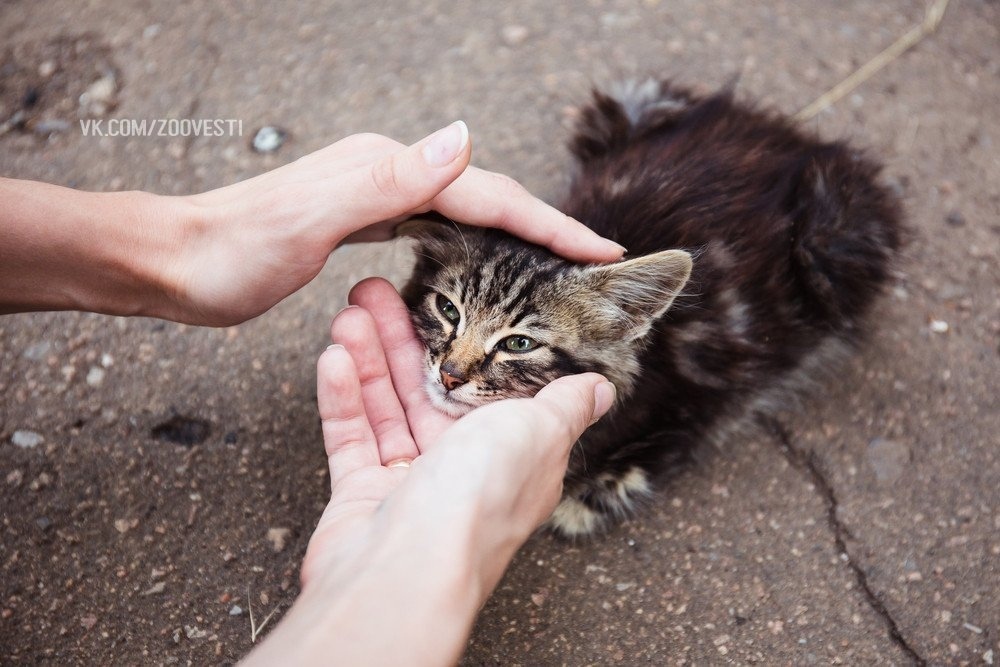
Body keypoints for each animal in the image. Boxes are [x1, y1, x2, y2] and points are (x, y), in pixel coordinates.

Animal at [400, 79, 908, 536]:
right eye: (448, 310)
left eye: (519, 344)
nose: (450, 375)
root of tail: (789, 137)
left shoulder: (694, 392)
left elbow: (673, 439)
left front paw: (593, 491)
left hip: (831, 241)